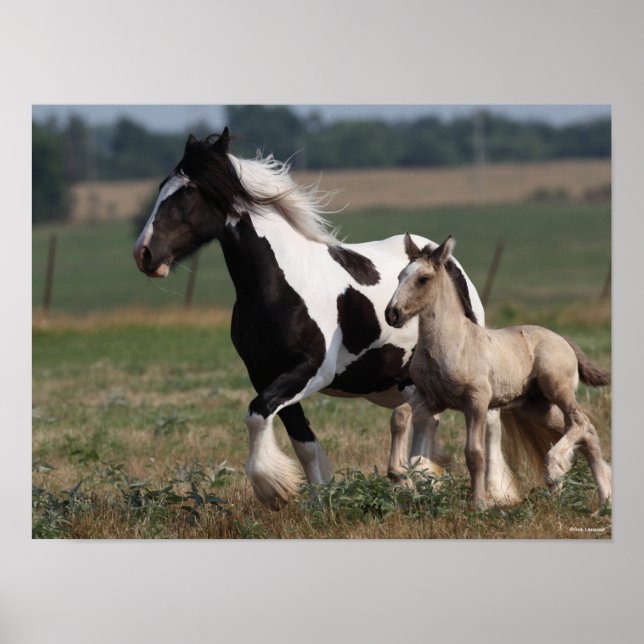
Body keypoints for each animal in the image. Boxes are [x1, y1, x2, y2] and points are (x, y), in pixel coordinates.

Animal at [132, 129, 522, 509]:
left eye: (188, 192)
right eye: (162, 186)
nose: (143, 254)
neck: (280, 284)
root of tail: (442, 257)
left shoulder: (312, 370)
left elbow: (257, 414)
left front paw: (273, 489)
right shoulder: (263, 374)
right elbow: (302, 442)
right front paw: (319, 501)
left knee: (488, 423)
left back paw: (494, 494)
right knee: (427, 422)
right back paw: (418, 483)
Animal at [385, 233, 612, 510]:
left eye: (423, 279)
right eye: (399, 276)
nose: (392, 314)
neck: (451, 343)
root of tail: (564, 340)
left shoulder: (477, 402)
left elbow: (474, 453)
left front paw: (479, 504)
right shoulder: (432, 398)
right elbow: (399, 415)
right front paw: (399, 474)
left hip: (556, 388)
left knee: (580, 422)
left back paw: (555, 468)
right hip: (538, 407)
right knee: (588, 433)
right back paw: (603, 500)